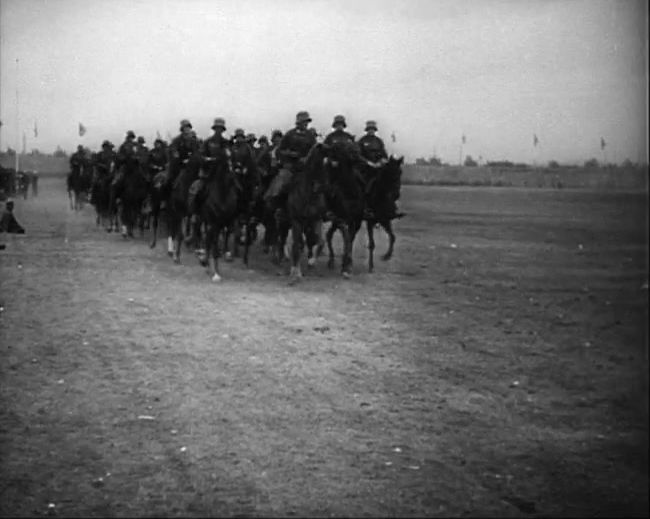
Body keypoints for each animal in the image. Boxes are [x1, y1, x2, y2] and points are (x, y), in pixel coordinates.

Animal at [322, 142, 368, 278]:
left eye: (358, 150)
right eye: (350, 151)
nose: (363, 161)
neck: (350, 192)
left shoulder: (356, 220)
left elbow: (350, 239)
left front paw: (348, 264)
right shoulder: (341, 218)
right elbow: (347, 237)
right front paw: (345, 267)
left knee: (330, 234)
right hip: (335, 219)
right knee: (330, 235)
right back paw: (331, 260)